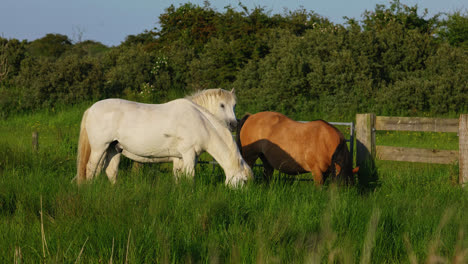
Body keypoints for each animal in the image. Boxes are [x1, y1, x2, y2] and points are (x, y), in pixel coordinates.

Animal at [76, 89, 252, 187]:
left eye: (234, 105)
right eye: (244, 182)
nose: (234, 124)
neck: (201, 122)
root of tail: (91, 108)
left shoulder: (181, 158)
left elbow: (179, 177)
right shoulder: (188, 154)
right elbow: (190, 177)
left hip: (113, 148)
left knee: (110, 171)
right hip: (99, 147)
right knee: (91, 168)